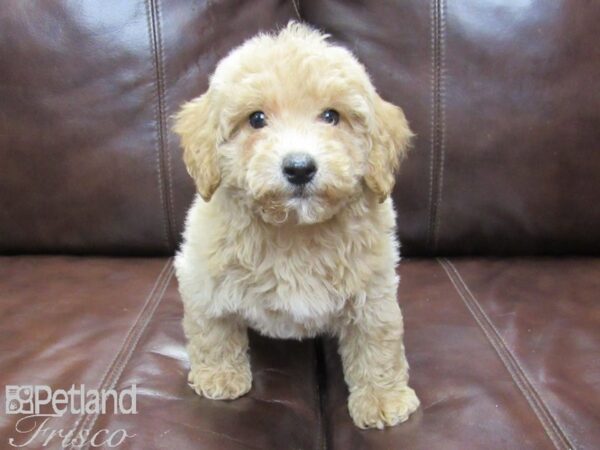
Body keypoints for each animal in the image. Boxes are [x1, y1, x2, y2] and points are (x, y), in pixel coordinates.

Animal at [171, 22, 420, 428]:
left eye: (331, 116)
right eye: (256, 119)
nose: (300, 167)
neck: (295, 231)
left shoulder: (375, 288)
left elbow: (377, 340)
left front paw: (383, 398)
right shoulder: (203, 273)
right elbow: (212, 326)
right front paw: (219, 375)